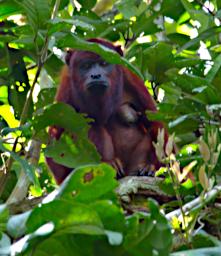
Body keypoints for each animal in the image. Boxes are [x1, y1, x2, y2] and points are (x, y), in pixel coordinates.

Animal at [46, 38, 167, 183]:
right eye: (86, 66)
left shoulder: (131, 77)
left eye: (104, 63)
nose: (96, 75)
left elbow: (156, 123)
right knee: (91, 125)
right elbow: (55, 140)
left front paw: (151, 166)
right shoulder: (66, 88)